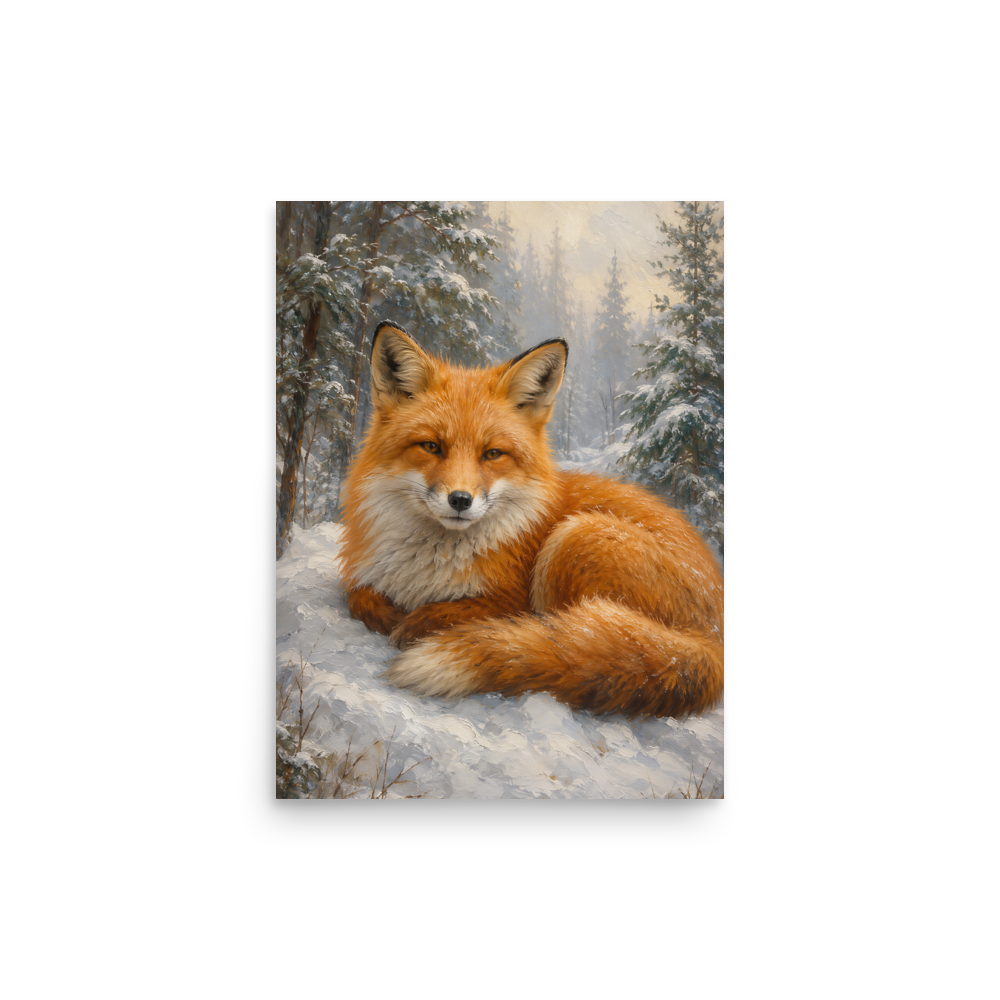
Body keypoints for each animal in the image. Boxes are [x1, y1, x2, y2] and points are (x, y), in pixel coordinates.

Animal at [338, 321, 724, 719]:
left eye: (493, 454)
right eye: (431, 446)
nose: (460, 500)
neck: (427, 566)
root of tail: (712, 637)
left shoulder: (512, 598)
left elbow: (462, 611)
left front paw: (417, 623)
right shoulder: (364, 575)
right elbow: (359, 596)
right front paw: (389, 614)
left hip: (575, 537)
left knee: (568, 638)